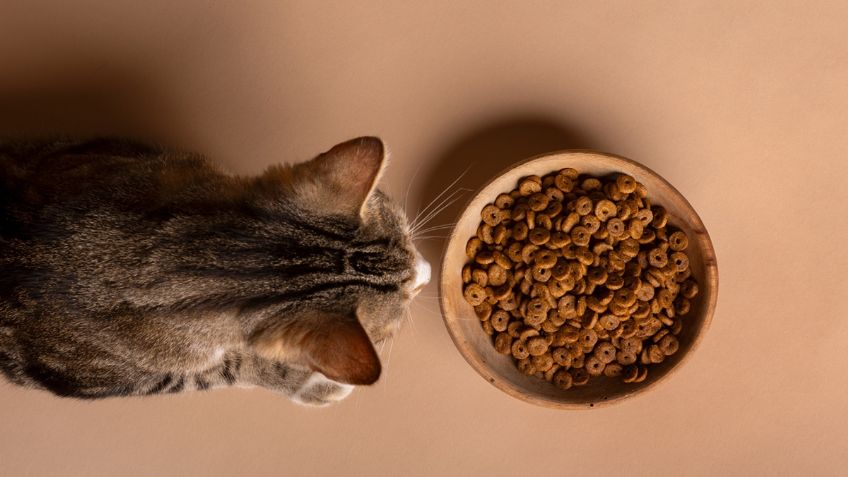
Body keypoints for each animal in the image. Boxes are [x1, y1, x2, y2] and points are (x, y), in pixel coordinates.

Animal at [0, 136, 428, 404]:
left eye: (407, 236)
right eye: (393, 322)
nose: (425, 273)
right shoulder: (121, 378)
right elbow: (226, 368)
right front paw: (309, 383)